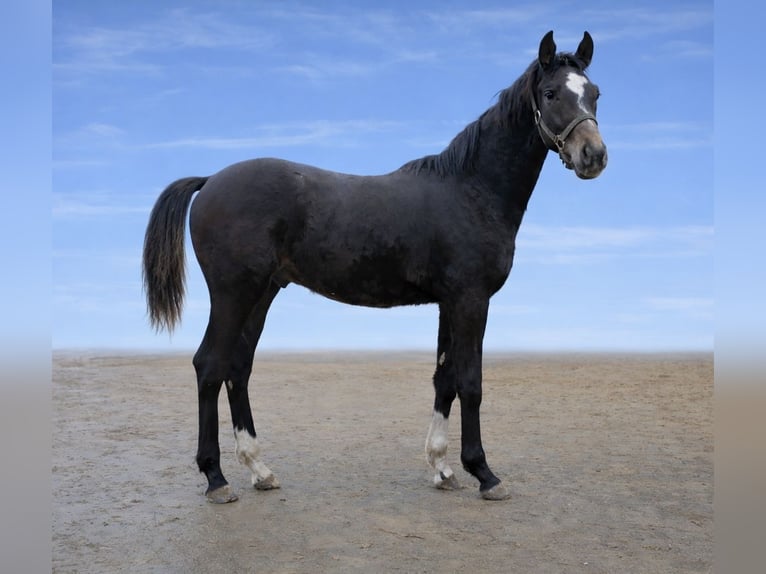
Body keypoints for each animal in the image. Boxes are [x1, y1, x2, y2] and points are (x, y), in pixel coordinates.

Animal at [142, 30, 607, 503]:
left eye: (594, 94)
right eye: (551, 94)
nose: (593, 155)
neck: (471, 190)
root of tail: (210, 181)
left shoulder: (449, 303)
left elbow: (445, 378)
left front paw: (442, 469)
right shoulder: (471, 300)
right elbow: (471, 383)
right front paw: (484, 473)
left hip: (262, 292)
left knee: (238, 368)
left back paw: (260, 470)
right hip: (234, 293)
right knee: (209, 367)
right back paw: (216, 478)